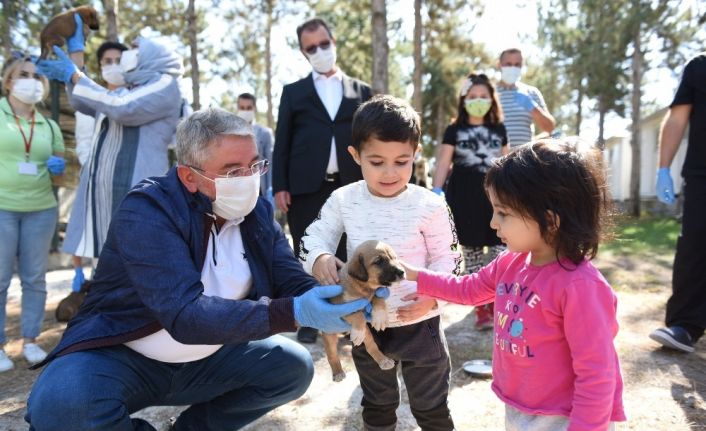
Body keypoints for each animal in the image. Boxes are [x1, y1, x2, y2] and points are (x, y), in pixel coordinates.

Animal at [322, 241, 404, 384]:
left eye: (394, 257)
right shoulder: (340, 307)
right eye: (378, 261)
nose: (402, 272)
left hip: (367, 335)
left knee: (371, 346)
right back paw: (338, 372)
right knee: (331, 355)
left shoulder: (375, 293)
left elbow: (379, 298)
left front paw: (379, 317)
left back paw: (383, 360)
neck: (362, 287)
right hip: (329, 335)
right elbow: (357, 315)